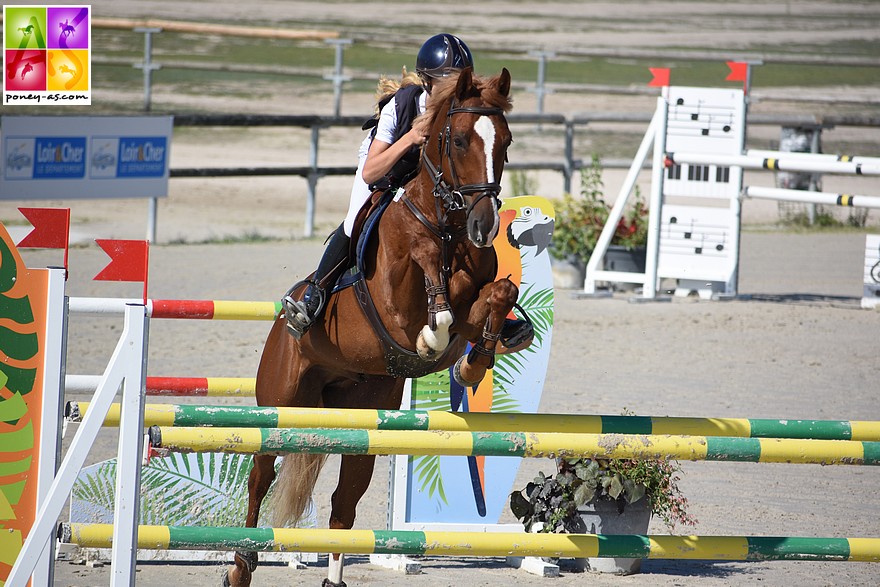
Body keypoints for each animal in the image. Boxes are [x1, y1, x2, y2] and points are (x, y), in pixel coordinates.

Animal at [227, 68, 524, 584]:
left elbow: (495, 297)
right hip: (281, 404)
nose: (484, 227)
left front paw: (472, 364)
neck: (447, 225)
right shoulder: (396, 309)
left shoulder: (477, 294)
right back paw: (241, 564)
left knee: (343, 504)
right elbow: (431, 292)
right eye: (460, 140)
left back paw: (333, 577)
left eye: (504, 142)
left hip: (362, 420)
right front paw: (433, 332)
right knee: (261, 474)